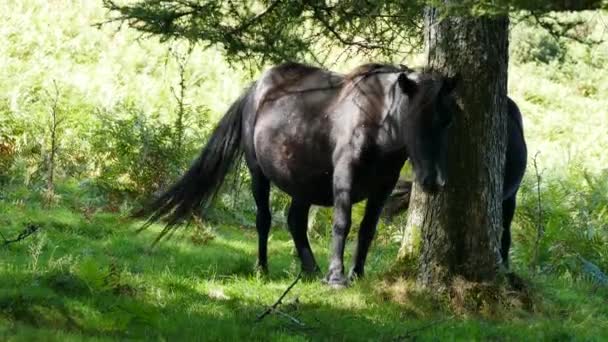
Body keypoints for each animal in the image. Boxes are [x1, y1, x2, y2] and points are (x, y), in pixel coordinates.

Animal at [140, 62, 458, 288]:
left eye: (448, 119)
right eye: (413, 117)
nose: (434, 181)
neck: (377, 119)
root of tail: (255, 89)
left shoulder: (383, 187)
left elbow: (367, 230)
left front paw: (357, 274)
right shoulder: (344, 178)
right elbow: (342, 224)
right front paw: (336, 277)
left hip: (302, 184)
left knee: (295, 221)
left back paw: (310, 269)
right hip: (259, 175)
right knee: (264, 220)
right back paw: (263, 268)